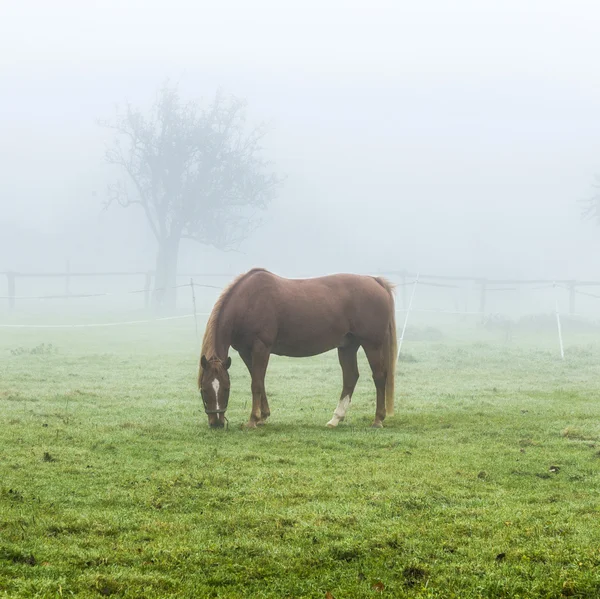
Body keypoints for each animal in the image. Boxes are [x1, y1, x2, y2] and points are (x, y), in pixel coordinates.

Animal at [198, 270, 398, 428]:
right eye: (204, 389)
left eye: (226, 389)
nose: (216, 423)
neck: (248, 302)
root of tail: (374, 281)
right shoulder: (246, 352)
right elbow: (259, 381)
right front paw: (263, 416)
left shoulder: (261, 348)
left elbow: (256, 383)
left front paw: (253, 420)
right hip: (348, 346)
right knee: (350, 377)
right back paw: (335, 419)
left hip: (372, 344)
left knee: (379, 376)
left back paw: (377, 419)